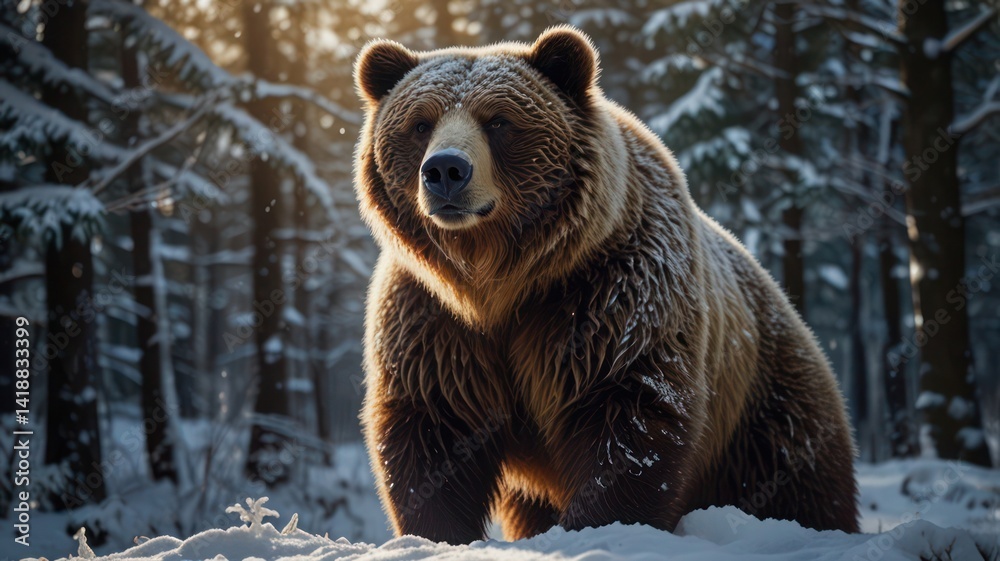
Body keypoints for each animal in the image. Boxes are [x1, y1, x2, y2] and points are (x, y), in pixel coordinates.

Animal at [353, 25, 859, 545]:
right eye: (420, 123)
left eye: (498, 121)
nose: (445, 170)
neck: (498, 280)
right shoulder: (435, 320)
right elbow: (432, 428)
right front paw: (439, 533)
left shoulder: (611, 293)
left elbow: (628, 415)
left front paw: (597, 525)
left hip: (765, 408)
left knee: (797, 483)